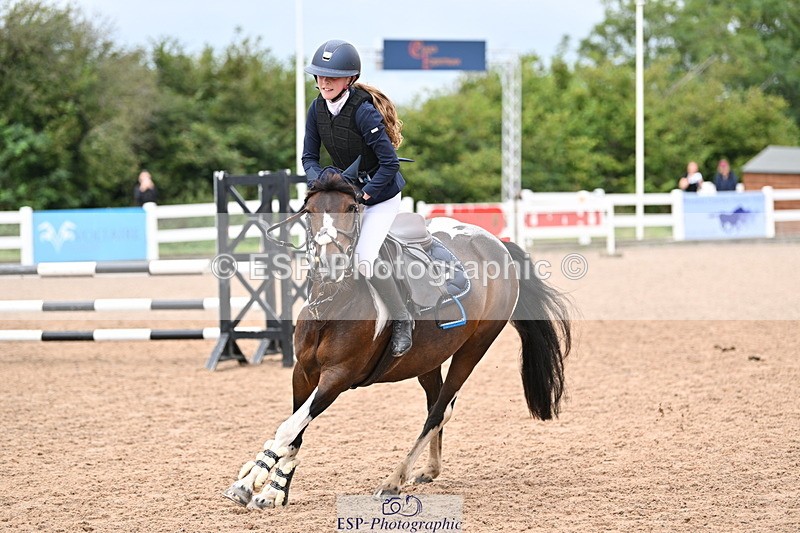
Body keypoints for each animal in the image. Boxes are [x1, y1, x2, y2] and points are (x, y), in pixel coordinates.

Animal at [223, 165, 573, 510]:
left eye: (351, 208)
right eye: (310, 212)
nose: (331, 264)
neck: (333, 300)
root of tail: (497, 244)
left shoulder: (338, 376)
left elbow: (288, 427)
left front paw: (249, 482)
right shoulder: (304, 372)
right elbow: (295, 429)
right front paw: (273, 490)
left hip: (474, 348)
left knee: (439, 411)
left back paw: (394, 480)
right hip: (428, 359)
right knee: (436, 404)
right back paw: (429, 470)